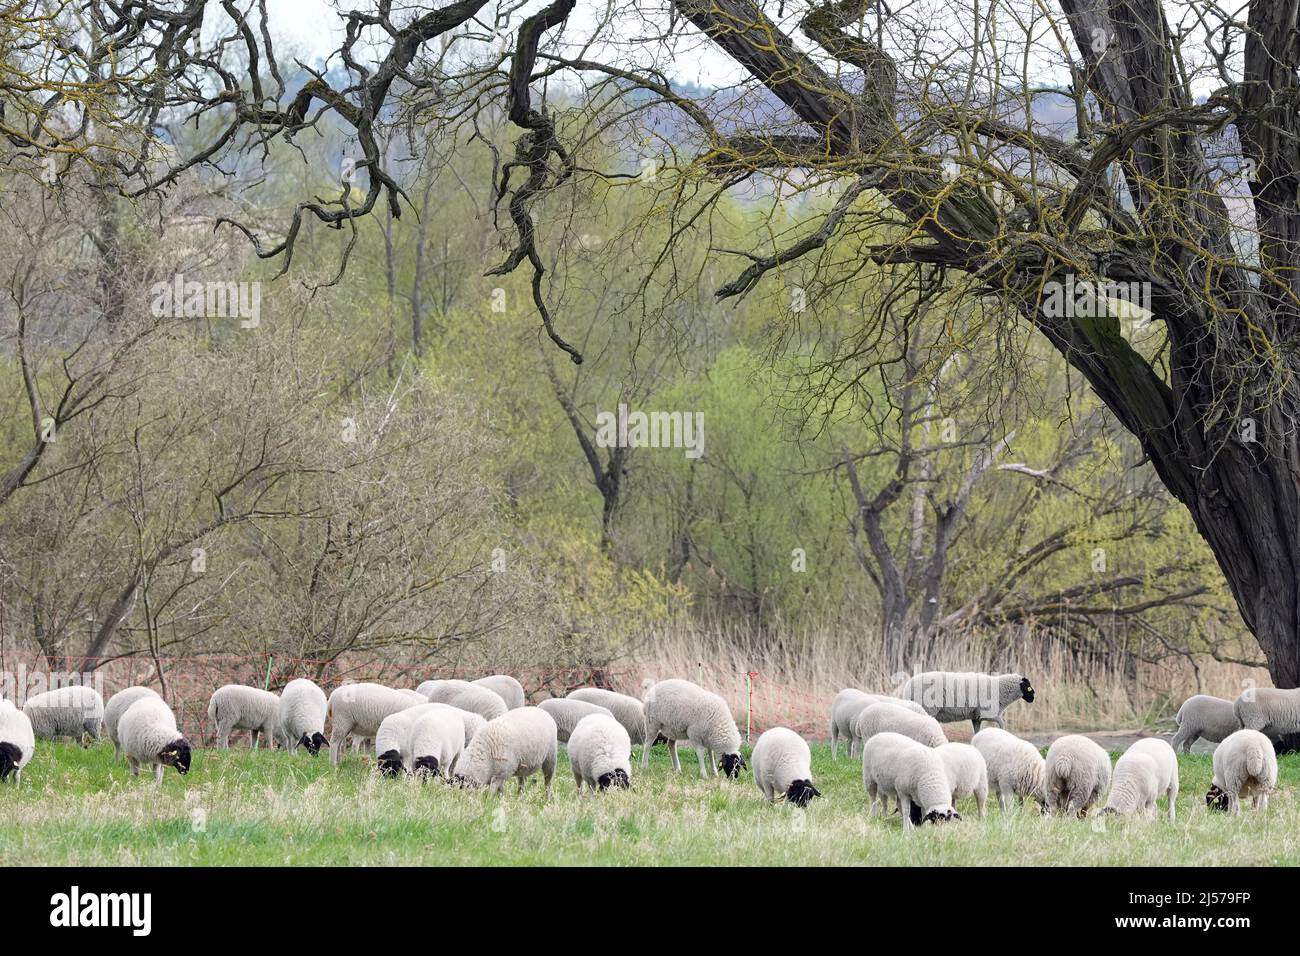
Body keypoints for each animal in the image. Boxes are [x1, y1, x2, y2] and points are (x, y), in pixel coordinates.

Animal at [894, 671, 1034, 733]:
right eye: (1028, 686)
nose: (1033, 698)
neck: (1000, 689)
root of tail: (908, 687)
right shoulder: (987, 713)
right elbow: (1002, 722)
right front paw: (1004, 733)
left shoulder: (976, 717)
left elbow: (977, 731)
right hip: (927, 708)